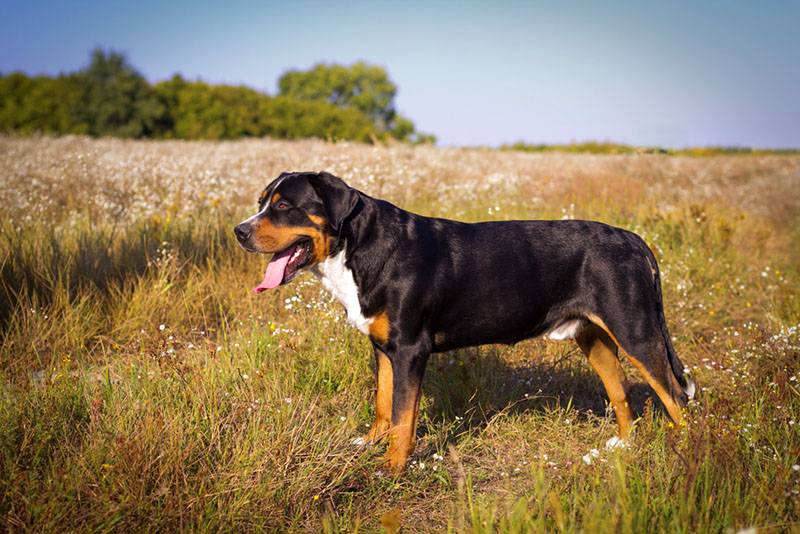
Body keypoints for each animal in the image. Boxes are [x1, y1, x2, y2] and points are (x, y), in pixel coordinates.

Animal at [231, 171, 692, 474]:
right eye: (261, 202)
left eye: (284, 206)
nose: (240, 231)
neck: (358, 248)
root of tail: (632, 238)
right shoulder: (384, 348)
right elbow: (384, 404)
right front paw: (369, 443)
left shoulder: (411, 349)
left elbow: (403, 417)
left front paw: (392, 467)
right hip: (595, 336)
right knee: (620, 394)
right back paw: (623, 447)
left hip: (636, 331)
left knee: (674, 397)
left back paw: (689, 452)